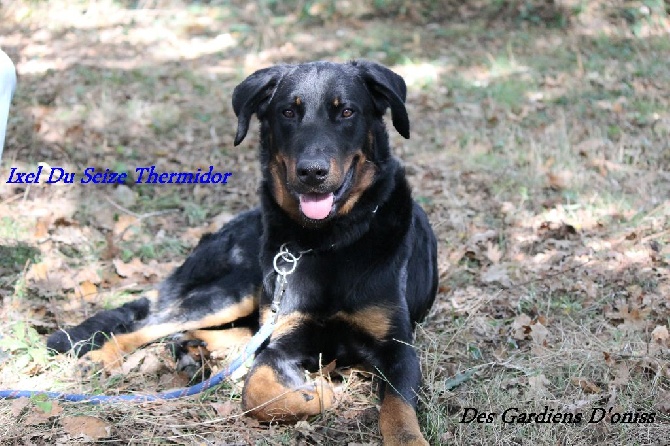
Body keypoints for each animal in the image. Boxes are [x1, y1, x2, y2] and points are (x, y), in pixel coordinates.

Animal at [47, 60, 438, 446]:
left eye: (346, 111)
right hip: (234, 292)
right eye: (287, 112)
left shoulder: (398, 349)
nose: (312, 172)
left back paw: (194, 349)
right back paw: (103, 357)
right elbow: (258, 393)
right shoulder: (282, 340)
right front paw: (320, 394)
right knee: (149, 325)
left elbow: (399, 412)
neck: (329, 241)